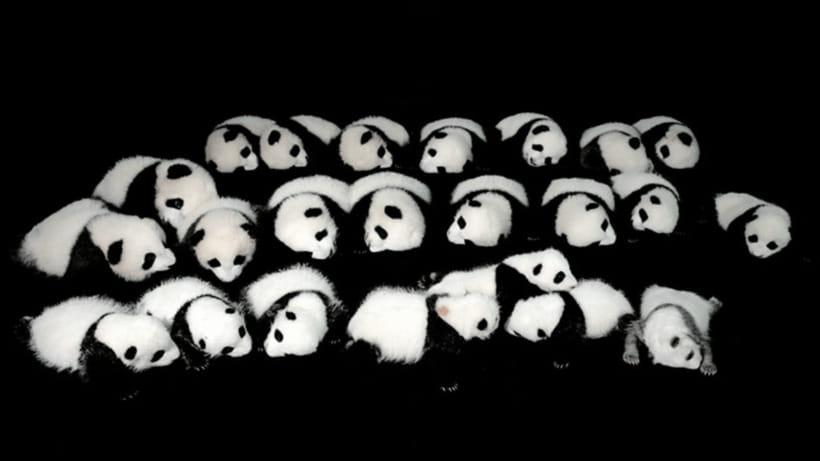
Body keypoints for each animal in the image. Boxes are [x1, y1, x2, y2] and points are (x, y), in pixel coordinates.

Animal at [20, 296, 179, 391]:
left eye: (170, 337)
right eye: (158, 354)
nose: (176, 358)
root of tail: (36, 323)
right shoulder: (96, 352)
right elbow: (101, 373)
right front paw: (128, 391)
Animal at [346, 286, 500, 391]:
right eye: (482, 323)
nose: (497, 319)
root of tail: (354, 323)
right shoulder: (436, 337)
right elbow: (438, 361)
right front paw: (449, 384)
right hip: (370, 340)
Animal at [496, 271, 634, 369]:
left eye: (516, 333)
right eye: (512, 313)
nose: (505, 328)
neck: (552, 310)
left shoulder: (570, 323)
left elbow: (572, 339)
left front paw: (561, 361)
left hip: (620, 315)